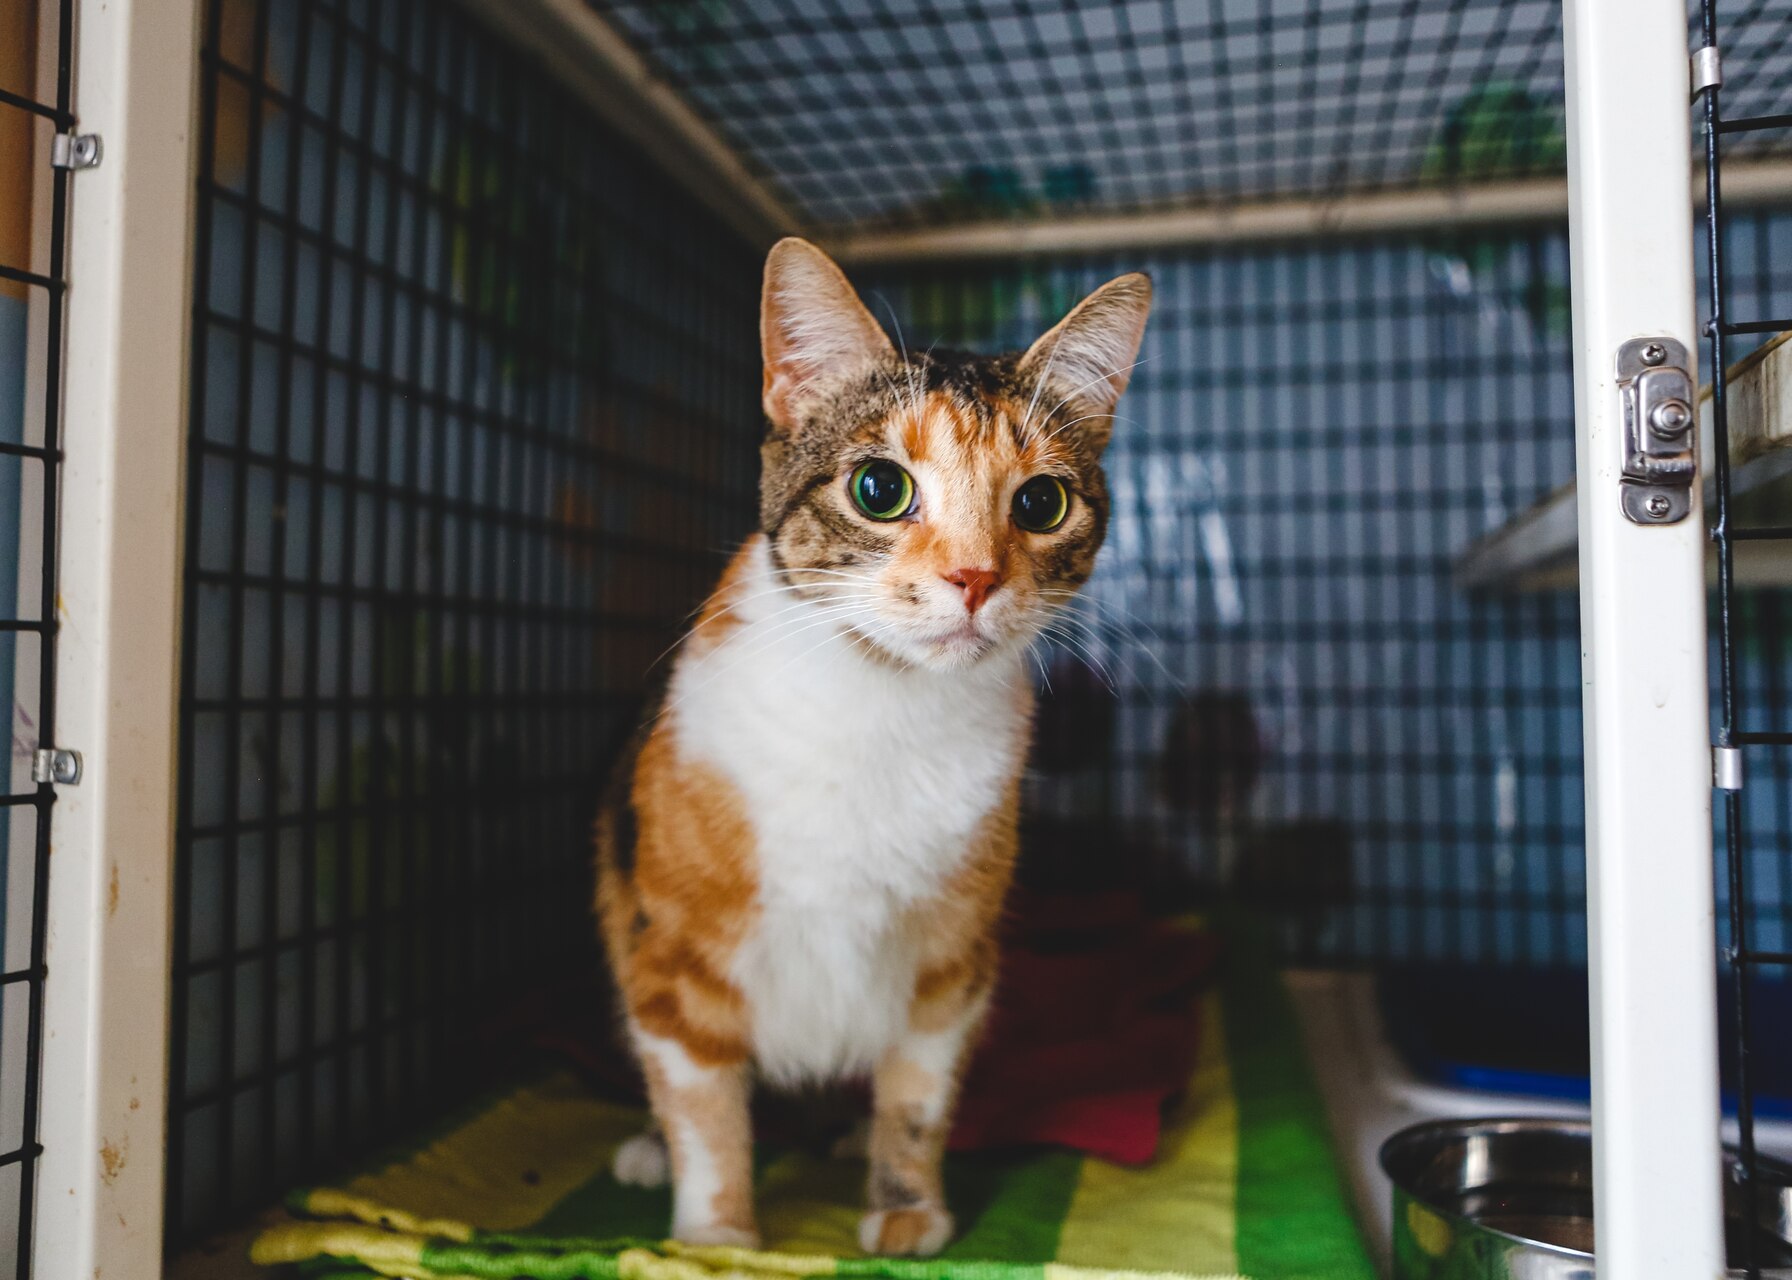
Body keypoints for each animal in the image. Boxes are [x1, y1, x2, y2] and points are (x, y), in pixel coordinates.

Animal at [591, 234, 1146, 1254]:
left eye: (1043, 502)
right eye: (879, 489)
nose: (974, 578)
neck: (880, 709)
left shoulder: (952, 963)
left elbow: (919, 1095)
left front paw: (906, 1202)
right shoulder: (673, 958)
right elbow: (703, 1104)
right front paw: (718, 1235)